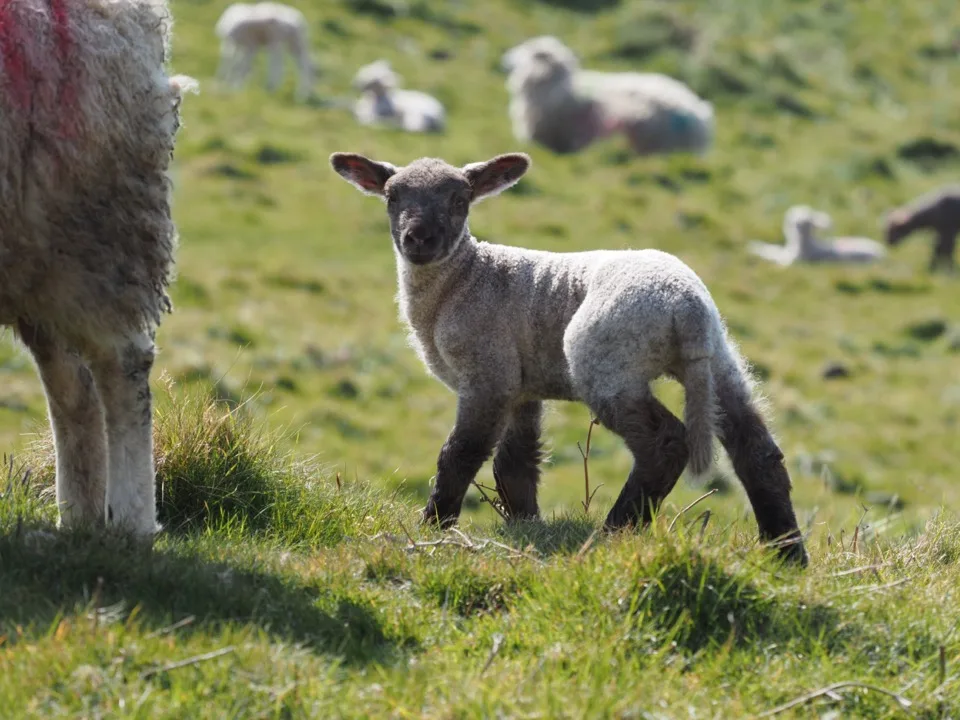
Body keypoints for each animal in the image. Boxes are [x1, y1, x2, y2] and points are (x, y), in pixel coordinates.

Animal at [0, 0, 195, 537]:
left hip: (93, 231)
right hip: (38, 256)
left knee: (121, 365)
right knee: (73, 386)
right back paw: (79, 520)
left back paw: (130, 522)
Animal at [329, 150, 808, 565]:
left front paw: (433, 526)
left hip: (606, 360)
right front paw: (527, 527)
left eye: (460, 200)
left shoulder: (489, 374)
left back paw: (617, 531)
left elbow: (461, 452)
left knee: (665, 443)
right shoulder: (522, 387)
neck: (462, 280)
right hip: (719, 362)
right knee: (758, 452)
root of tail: (686, 304)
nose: (419, 240)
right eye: (392, 197)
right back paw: (786, 555)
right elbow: (515, 463)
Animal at [748, 206, 886, 266]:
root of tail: (883, 254)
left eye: (806, 222)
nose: (797, 224)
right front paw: (754, 245)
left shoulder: (790, 261)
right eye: (793, 217)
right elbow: (770, 248)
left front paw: (753, 249)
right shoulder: (786, 252)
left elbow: (771, 255)